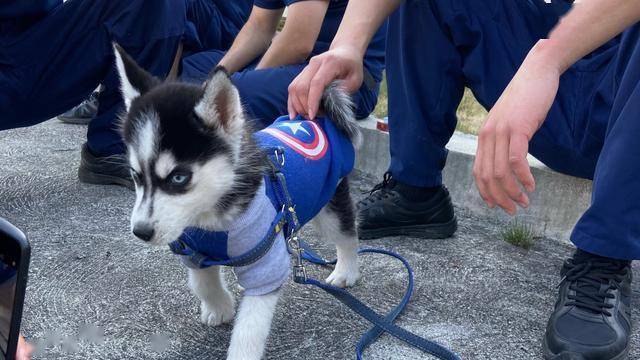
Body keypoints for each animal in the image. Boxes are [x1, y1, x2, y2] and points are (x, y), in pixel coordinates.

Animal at [111, 45, 360, 360]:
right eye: (135, 175)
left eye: (179, 178)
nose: (141, 232)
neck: (212, 217)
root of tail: (312, 117)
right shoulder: (194, 250)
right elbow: (201, 282)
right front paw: (219, 308)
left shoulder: (266, 262)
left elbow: (250, 328)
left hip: (330, 204)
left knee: (347, 233)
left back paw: (346, 271)